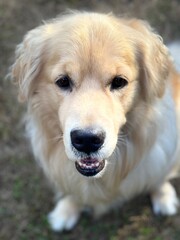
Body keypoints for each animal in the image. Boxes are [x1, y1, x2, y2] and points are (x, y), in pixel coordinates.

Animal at [10, 11, 180, 231]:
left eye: (119, 81)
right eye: (63, 81)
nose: (87, 140)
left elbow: (159, 177)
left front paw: (163, 195)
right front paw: (66, 210)